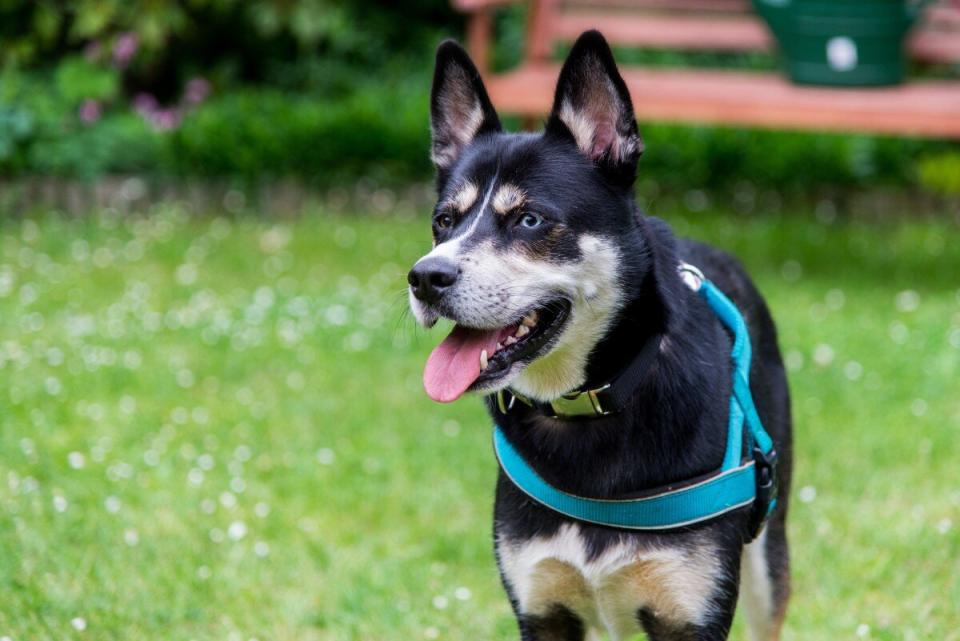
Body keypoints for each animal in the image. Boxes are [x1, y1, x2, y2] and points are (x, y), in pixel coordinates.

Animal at [404, 31, 796, 640]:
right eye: (444, 221)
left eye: (530, 220)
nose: (425, 277)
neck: (589, 406)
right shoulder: (544, 609)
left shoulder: (691, 614)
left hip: (767, 558)